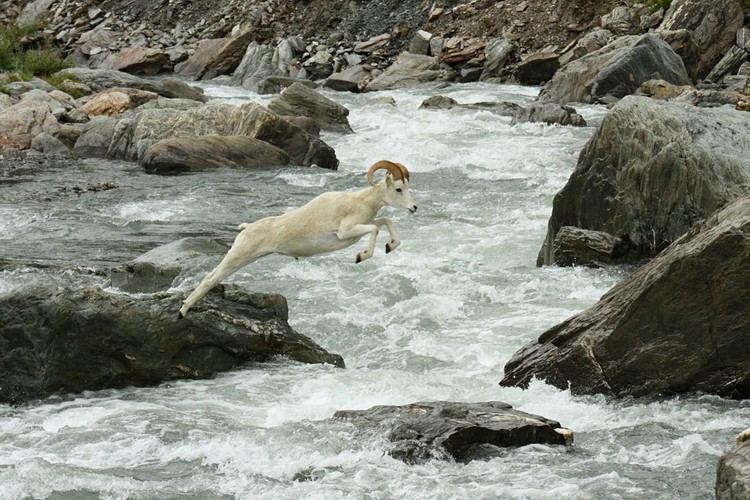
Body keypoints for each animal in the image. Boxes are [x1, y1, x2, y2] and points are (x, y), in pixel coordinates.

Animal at [178, 160, 418, 317]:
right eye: (398, 189)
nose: (414, 207)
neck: (359, 202)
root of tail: (246, 229)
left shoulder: (364, 225)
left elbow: (385, 221)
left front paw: (390, 246)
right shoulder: (346, 232)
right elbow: (375, 229)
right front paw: (361, 256)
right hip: (238, 257)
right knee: (210, 279)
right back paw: (183, 310)